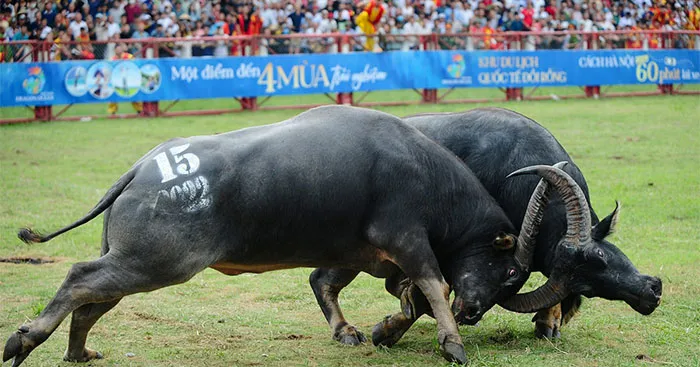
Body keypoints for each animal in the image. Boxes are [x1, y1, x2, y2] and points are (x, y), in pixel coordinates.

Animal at [1, 105, 556, 366]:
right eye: (510, 270)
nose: (475, 311)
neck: (423, 172)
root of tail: (142, 168)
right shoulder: (408, 239)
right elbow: (435, 286)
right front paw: (452, 343)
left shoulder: (382, 256)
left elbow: (404, 294)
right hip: (155, 262)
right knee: (78, 279)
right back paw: (24, 338)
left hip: (135, 262)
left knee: (91, 302)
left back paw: (77, 352)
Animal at [360, 107, 660, 348]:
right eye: (598, 256)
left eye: (587, 288)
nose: (652, 291)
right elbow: (424, 295)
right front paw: (386, 331)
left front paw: (548, 322)